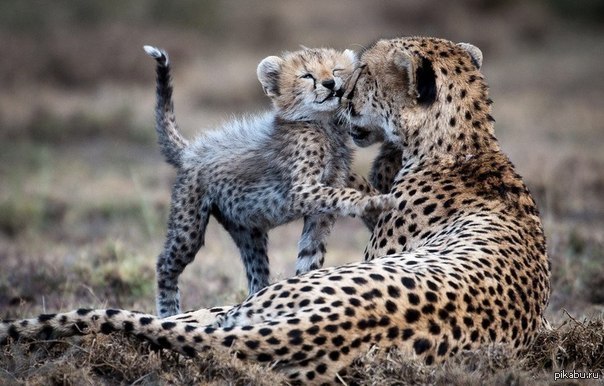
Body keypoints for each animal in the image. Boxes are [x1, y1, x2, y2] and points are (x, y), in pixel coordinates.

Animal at [1, 35, 548, 382]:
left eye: (357, 75)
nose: (339, 91)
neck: (465, 145)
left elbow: (331, 208)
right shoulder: (310, 184)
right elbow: (340, 192)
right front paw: (371, 196)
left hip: (246, 290)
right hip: (202, 227)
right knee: (172, 275)